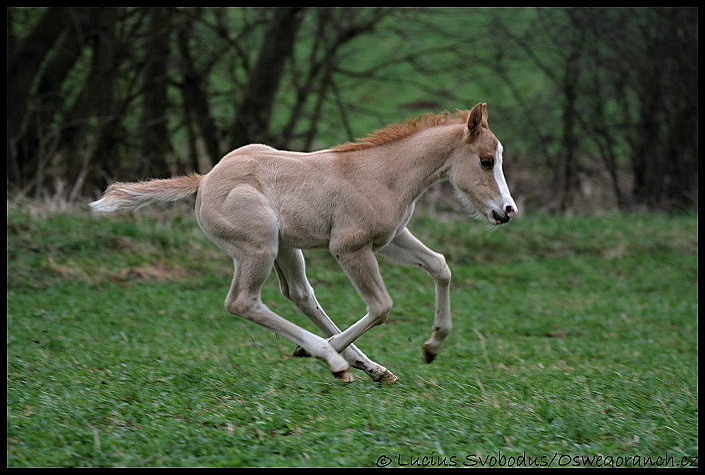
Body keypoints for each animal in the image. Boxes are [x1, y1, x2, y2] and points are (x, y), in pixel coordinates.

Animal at [89, 103, 516, 384]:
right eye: (484, 160)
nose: (507, 211)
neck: (384, 174)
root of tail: (205, 179)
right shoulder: (351, 248)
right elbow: (381, 306)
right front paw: (316, 351)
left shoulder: (392, 239)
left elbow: (440, 265)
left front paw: (433, 347)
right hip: (257, 248)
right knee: (243, 302)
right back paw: (332, 357)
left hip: (285, 248)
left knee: (301, 295)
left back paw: (370, 368)